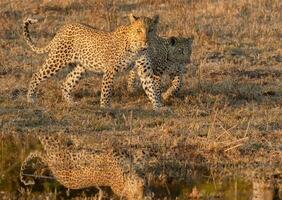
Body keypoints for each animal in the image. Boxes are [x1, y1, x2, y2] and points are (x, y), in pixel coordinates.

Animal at [20, 132, 153, 199]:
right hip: (57, 151)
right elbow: (140, 156)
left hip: (55, 152)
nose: (143, 183)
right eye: (136, 184)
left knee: (43, 149)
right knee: (40, 151)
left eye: (143, 186)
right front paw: (146, 149)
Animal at [24, 14, 163, 109]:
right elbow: (106, 91)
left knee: (66, 83)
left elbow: (152, 90)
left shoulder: (145, 72)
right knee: (37, 75)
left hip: (80, 67)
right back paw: (30, 98)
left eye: (150, 30)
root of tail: (62, 29)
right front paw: (105, 108)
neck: (138, 49)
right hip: (57, 60)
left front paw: (159, 107)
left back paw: (72, 103)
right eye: (139, 30)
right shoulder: (110, 70)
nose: (146, 41)